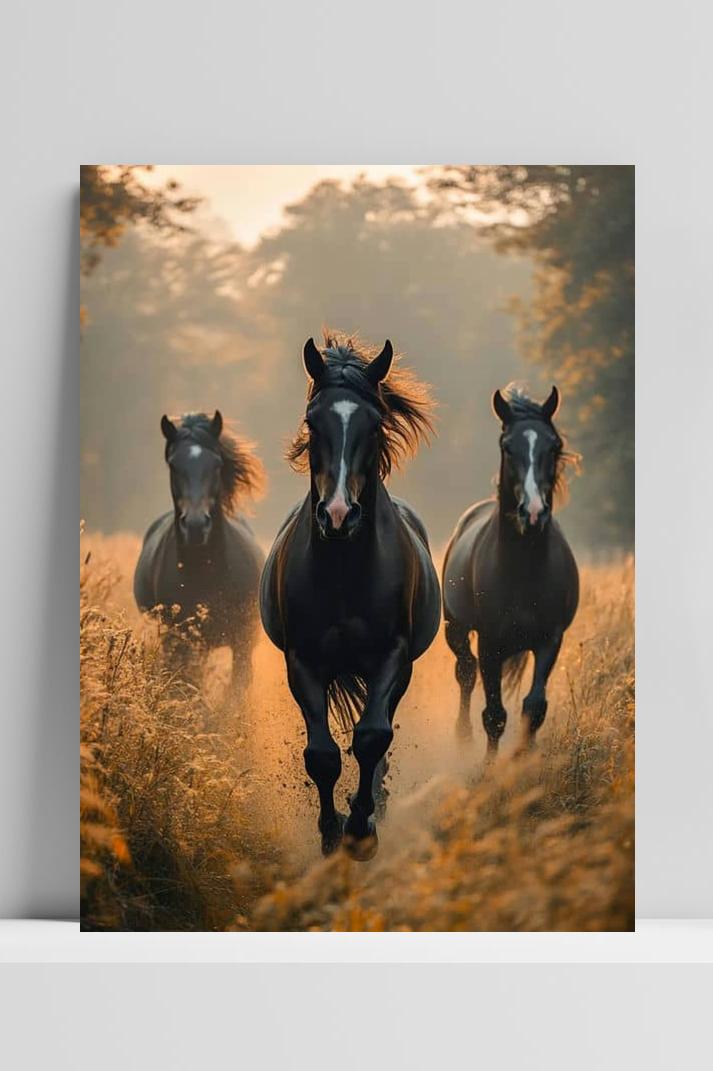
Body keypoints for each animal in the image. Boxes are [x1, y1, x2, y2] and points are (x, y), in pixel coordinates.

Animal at [134, 410, 266, 695]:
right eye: (173, 465)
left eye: (216, 464)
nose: (195, 525)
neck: (205, 570)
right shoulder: (181, 638)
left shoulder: (242, 642)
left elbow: (238, 690)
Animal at [260, 333, 441, 859]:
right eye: (311, 421)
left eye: (374, 423)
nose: (338, 514)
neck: (343, 572)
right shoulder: (303, 661)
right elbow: (321, 754)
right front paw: (330, 831)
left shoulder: (392, 657)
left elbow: (371, 737)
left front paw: (361, 830)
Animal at [442, 384, 579, 753]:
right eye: (507, 446)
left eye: (554, 445)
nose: (532, 512)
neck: (523, 569)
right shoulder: (491, 642)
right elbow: (494, 714)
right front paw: (490, 767)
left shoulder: (550, 640)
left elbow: (534, 706)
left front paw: (522, 758)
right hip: (456, 628)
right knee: (465, 671)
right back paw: (462, 736)